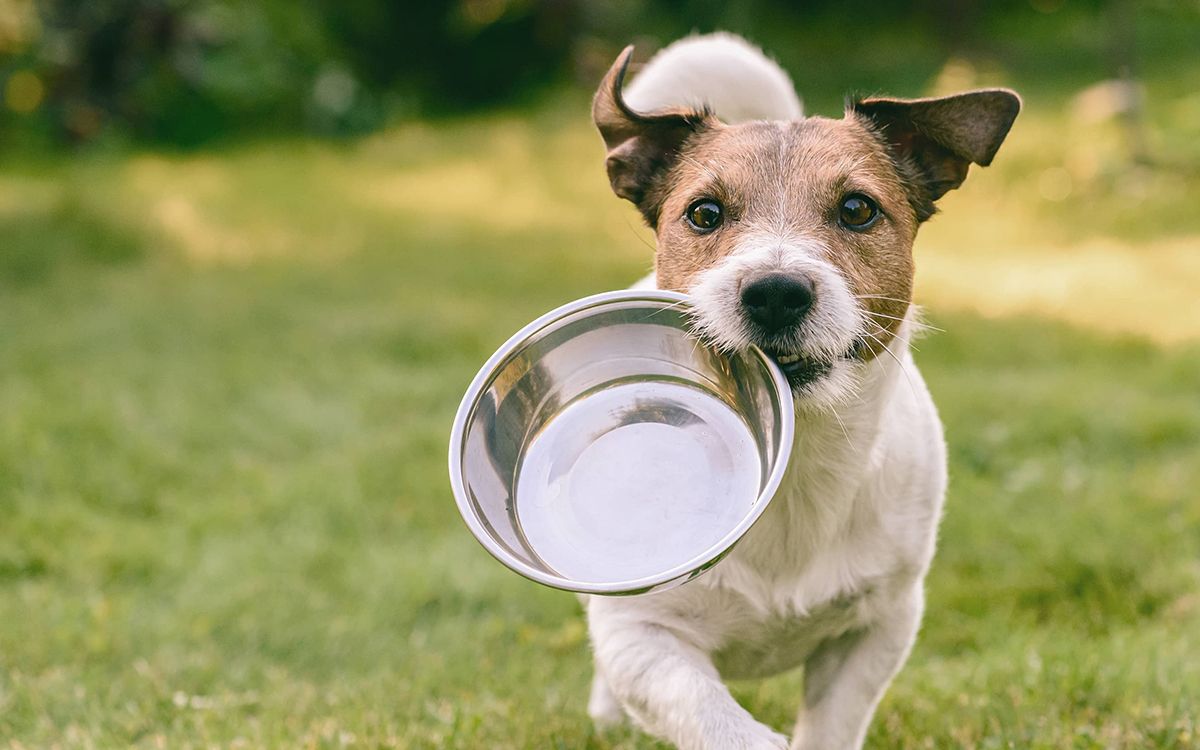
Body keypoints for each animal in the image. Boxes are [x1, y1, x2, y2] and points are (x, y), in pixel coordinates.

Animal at [583, 32, 1022, 744]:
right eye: (704, 213)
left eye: (857, 209)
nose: (775, 293)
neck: (796, 465)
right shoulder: (641, 635)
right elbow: (703, 708)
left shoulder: (879, 627)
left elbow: (833, 722)